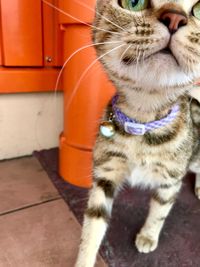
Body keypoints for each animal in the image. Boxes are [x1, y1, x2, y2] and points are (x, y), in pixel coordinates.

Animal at [74, 1, 200, 266]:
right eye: (133, 3)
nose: (175, 18)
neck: (142, 124)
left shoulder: (171, 179)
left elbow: (160, 211)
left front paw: (148, 236)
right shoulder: (105, 172)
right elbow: (91, 228)